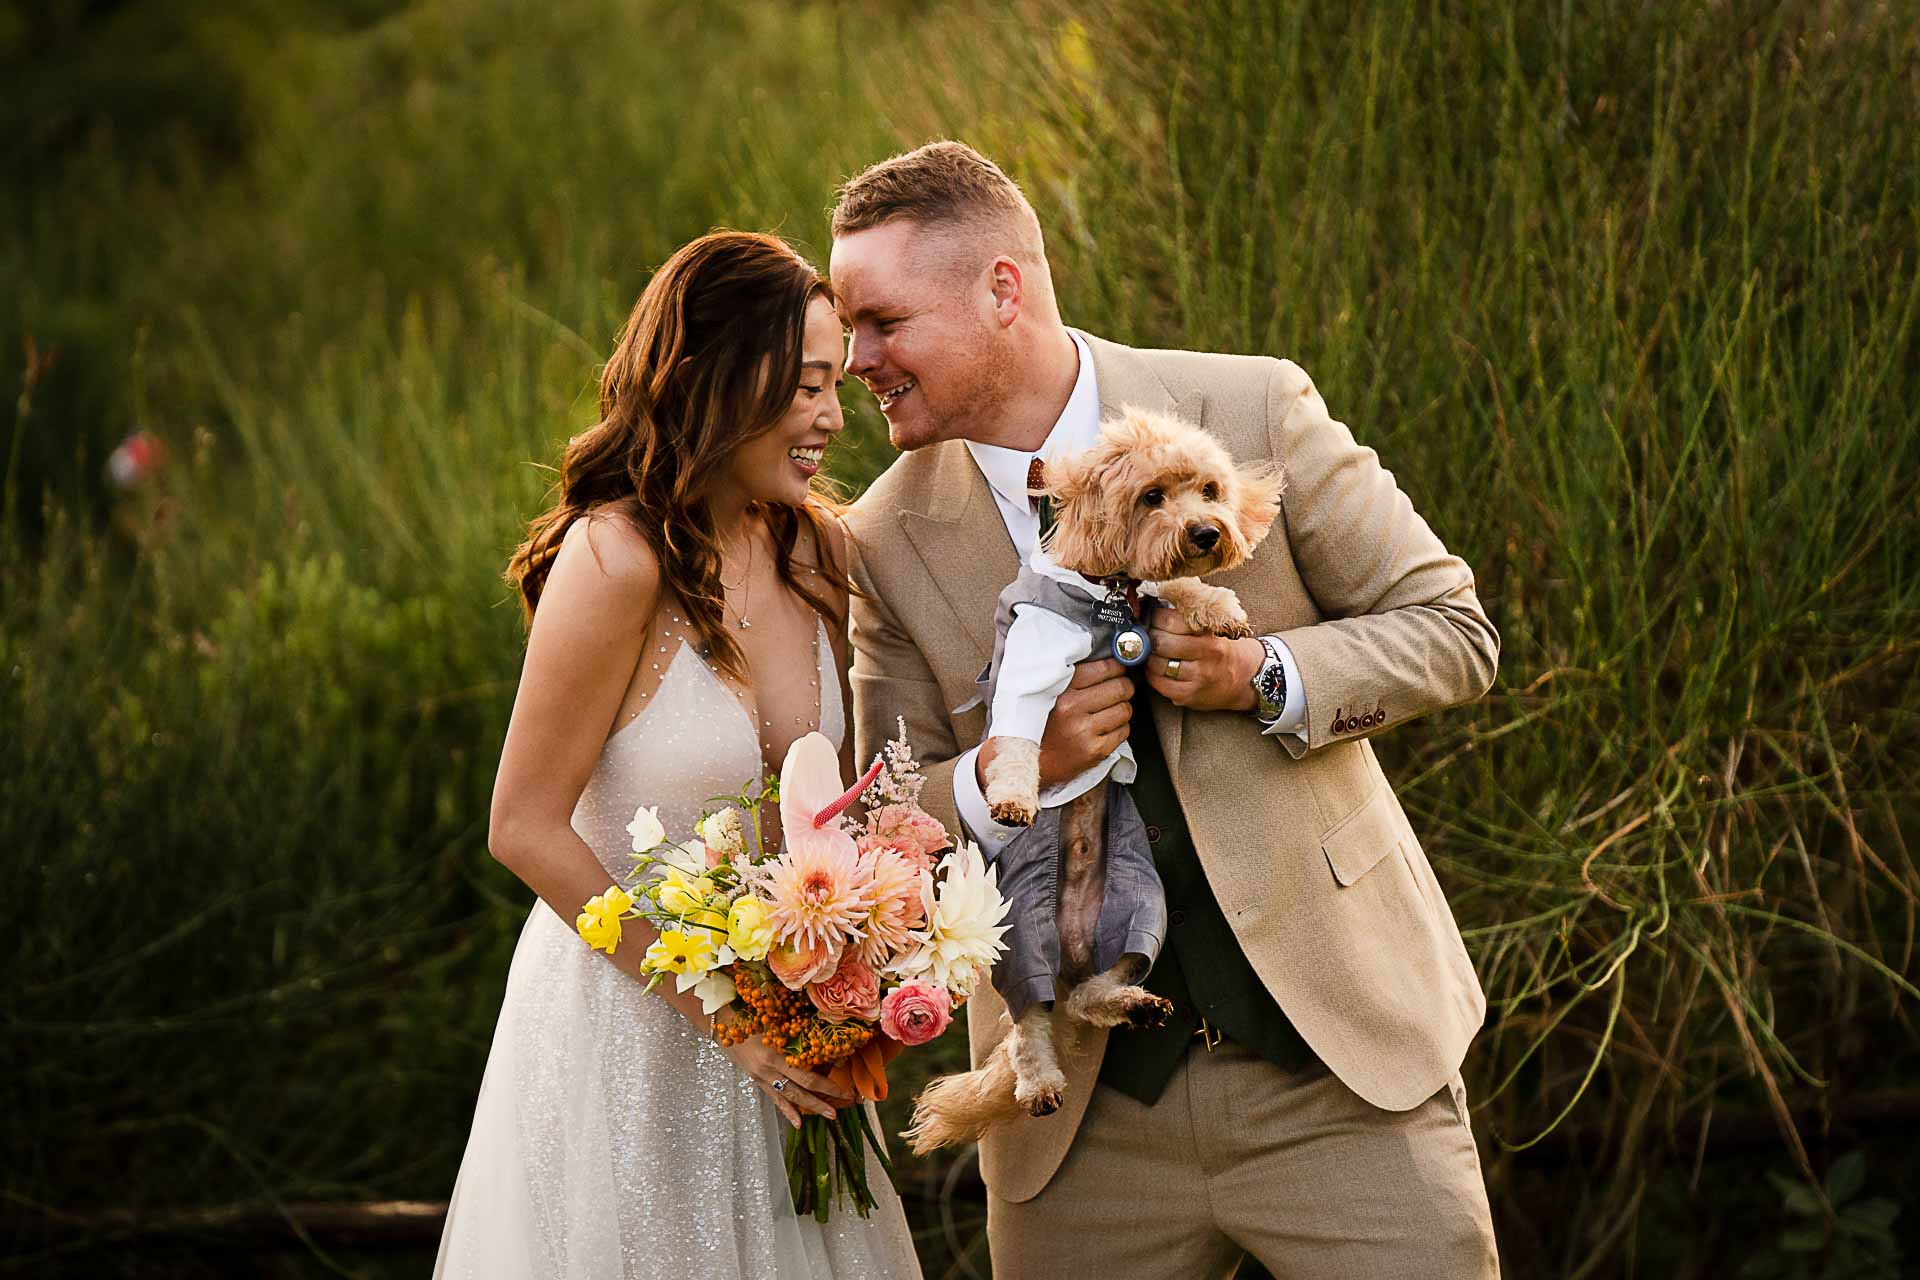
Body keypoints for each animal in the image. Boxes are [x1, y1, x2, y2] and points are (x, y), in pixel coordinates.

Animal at [906, 407, 1281, 1152]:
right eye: (1152, 497)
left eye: (1209, 489)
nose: (1206, 532)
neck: (1107, 592)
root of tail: (1072, 952)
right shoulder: (1033, 659)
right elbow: (1017, 741)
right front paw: (1012, 798)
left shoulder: (1150, 595)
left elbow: (1176, 588)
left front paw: (1218, 606)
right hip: (1019, 936)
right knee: (1031, 1026)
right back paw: (1042, 1084)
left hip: (1140, 908)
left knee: (1084, 997)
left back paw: (1132, 1004)